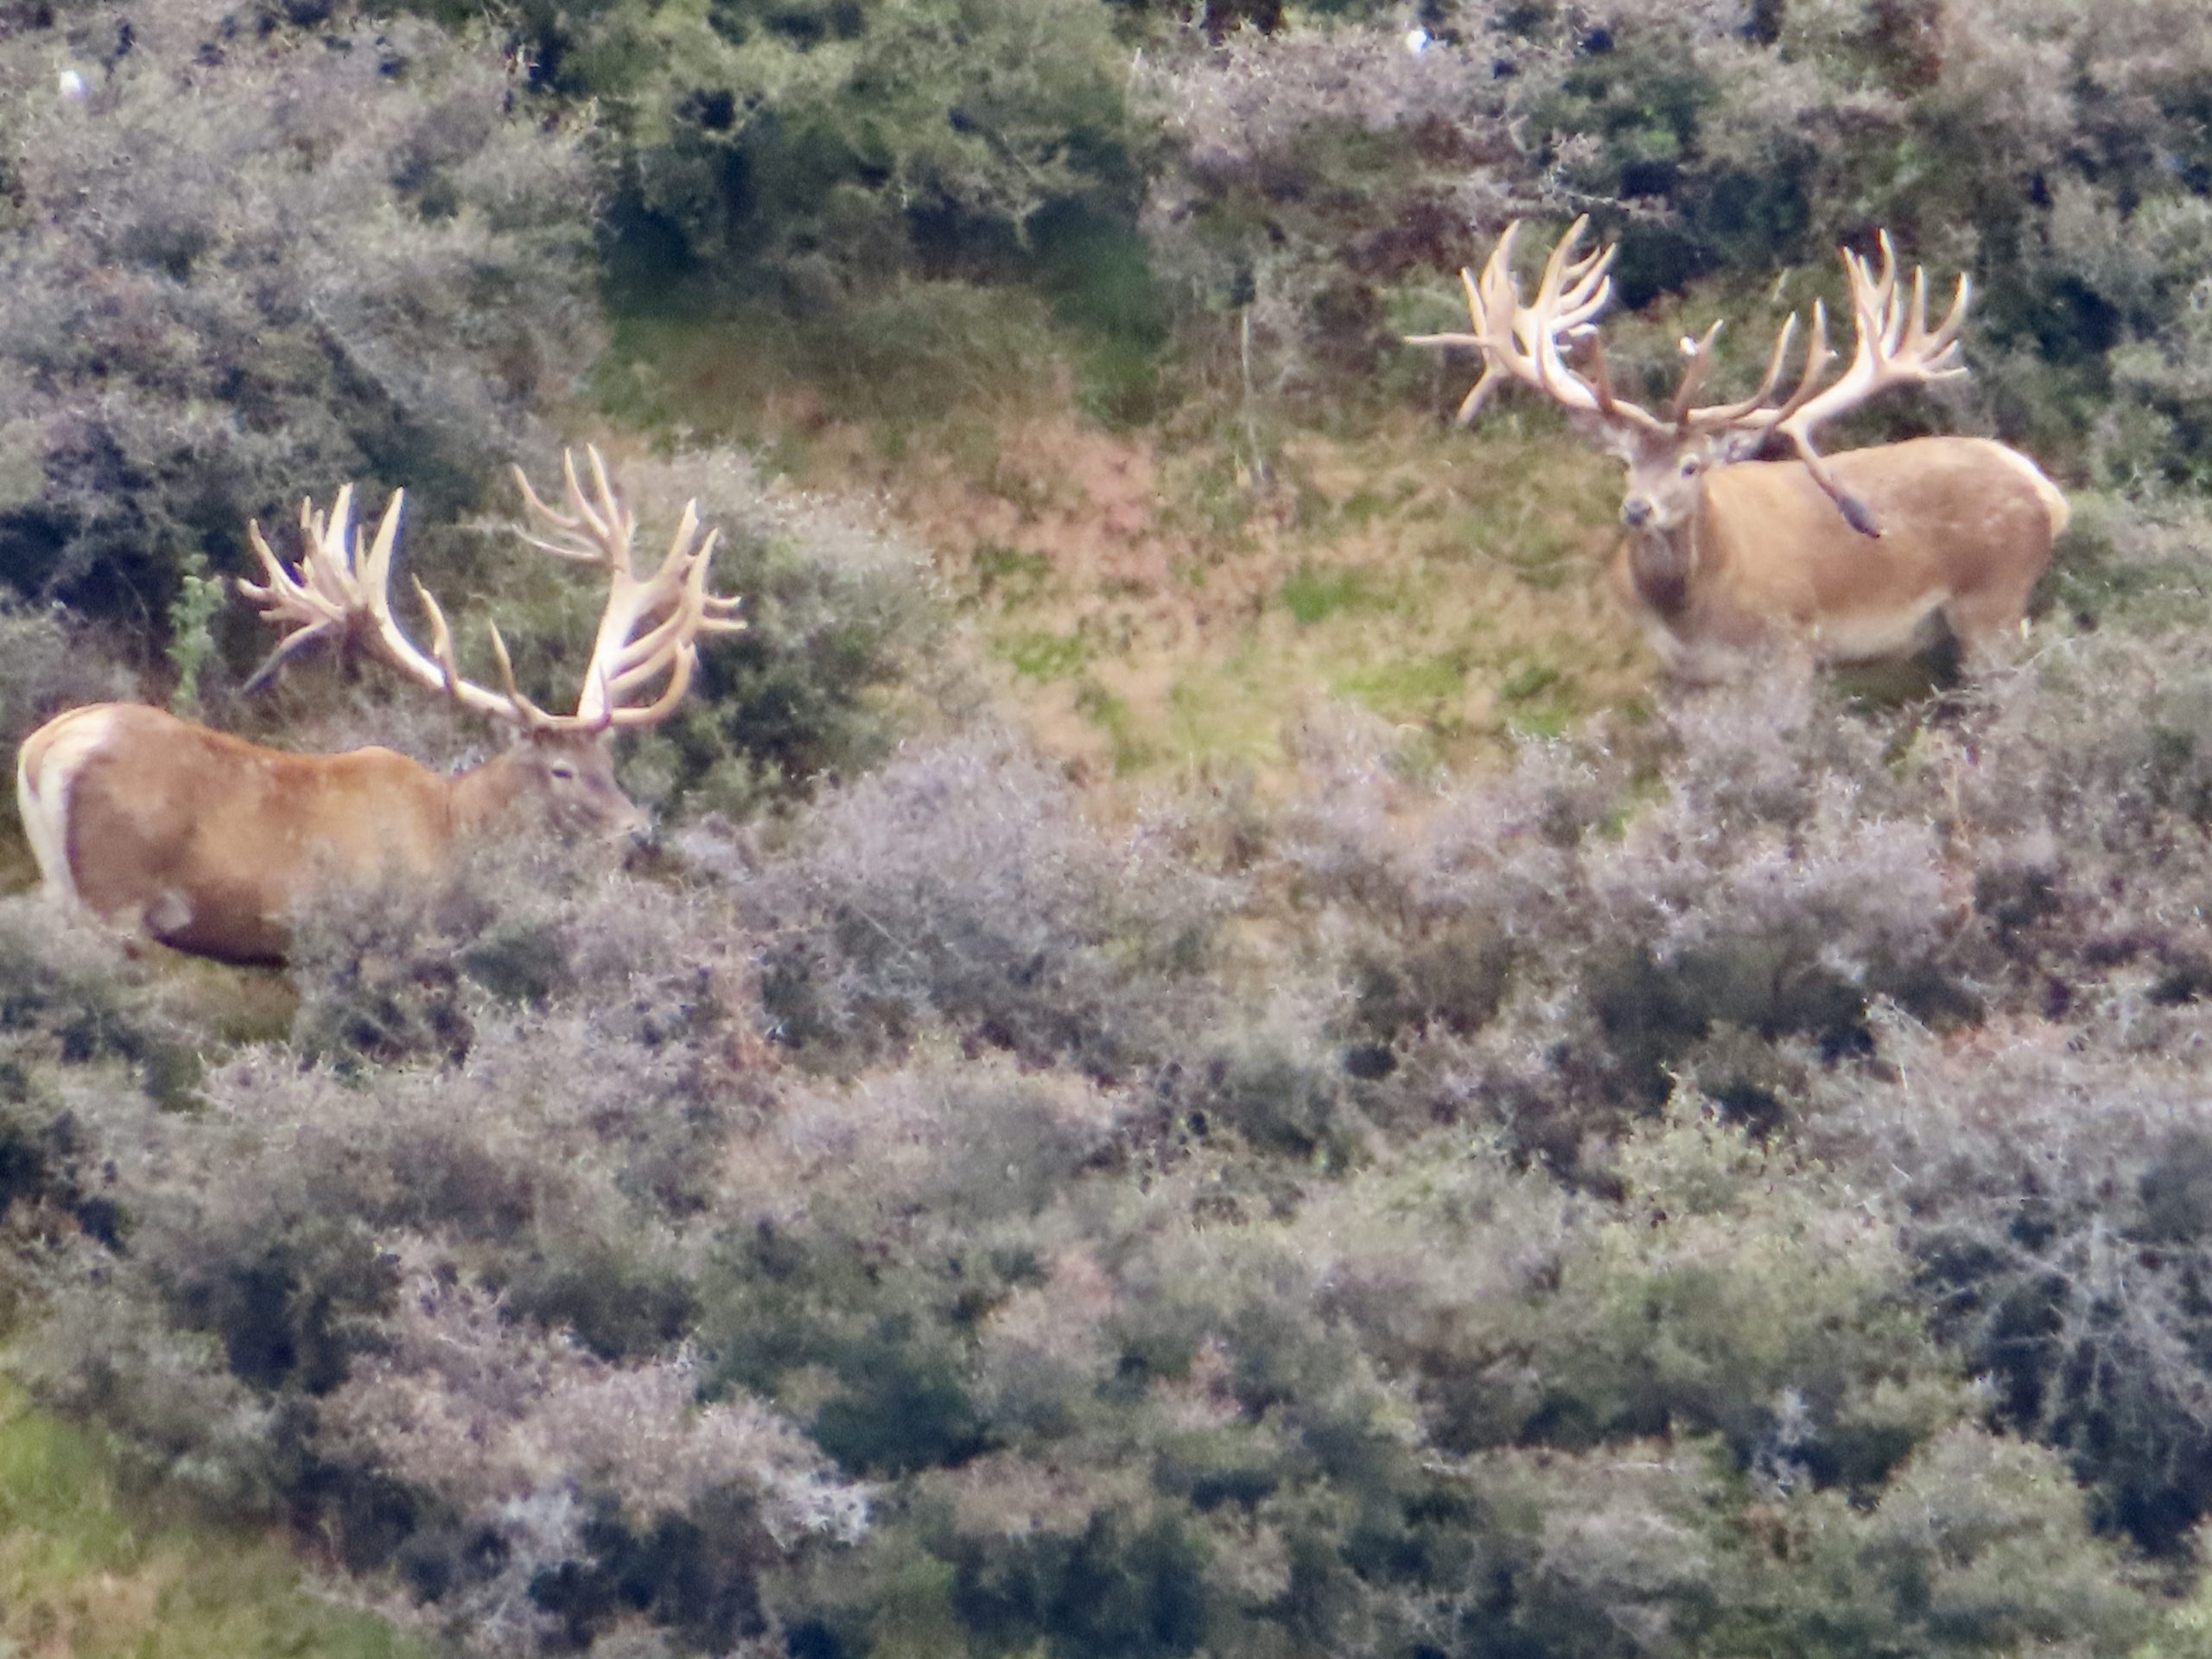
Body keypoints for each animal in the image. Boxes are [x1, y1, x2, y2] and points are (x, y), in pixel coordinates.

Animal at [14, 448, 743, 964]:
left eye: (609, 763)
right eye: (560, 770)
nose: (638, 830)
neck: (452, 834)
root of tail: (41, 751)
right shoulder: (384, 931)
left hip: (62, 885)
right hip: (113, 893)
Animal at [1409, 219, 2069, 681]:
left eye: (1691, 466)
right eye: (1625, 463)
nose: (1637, 509)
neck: (1693, 614)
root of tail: (2048, 494)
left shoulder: (1795, 645)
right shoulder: (1678, 671)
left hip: (1994, 602)